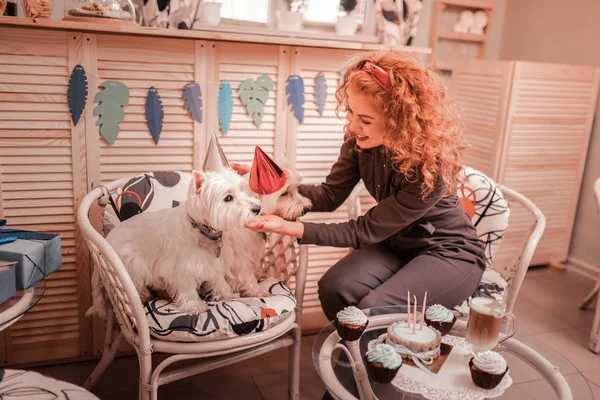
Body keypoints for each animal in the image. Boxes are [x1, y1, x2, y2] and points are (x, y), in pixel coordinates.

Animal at [88, 167, 266, 318]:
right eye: (228, 198)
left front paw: (226, 294)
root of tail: (106, 241)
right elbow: (187, 287)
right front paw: (195, 306)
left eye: (242, 190)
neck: (200, 229)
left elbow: (218, 279)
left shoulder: (214, 262)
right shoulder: (181, 267)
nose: (257, 208)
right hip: (130, 267)